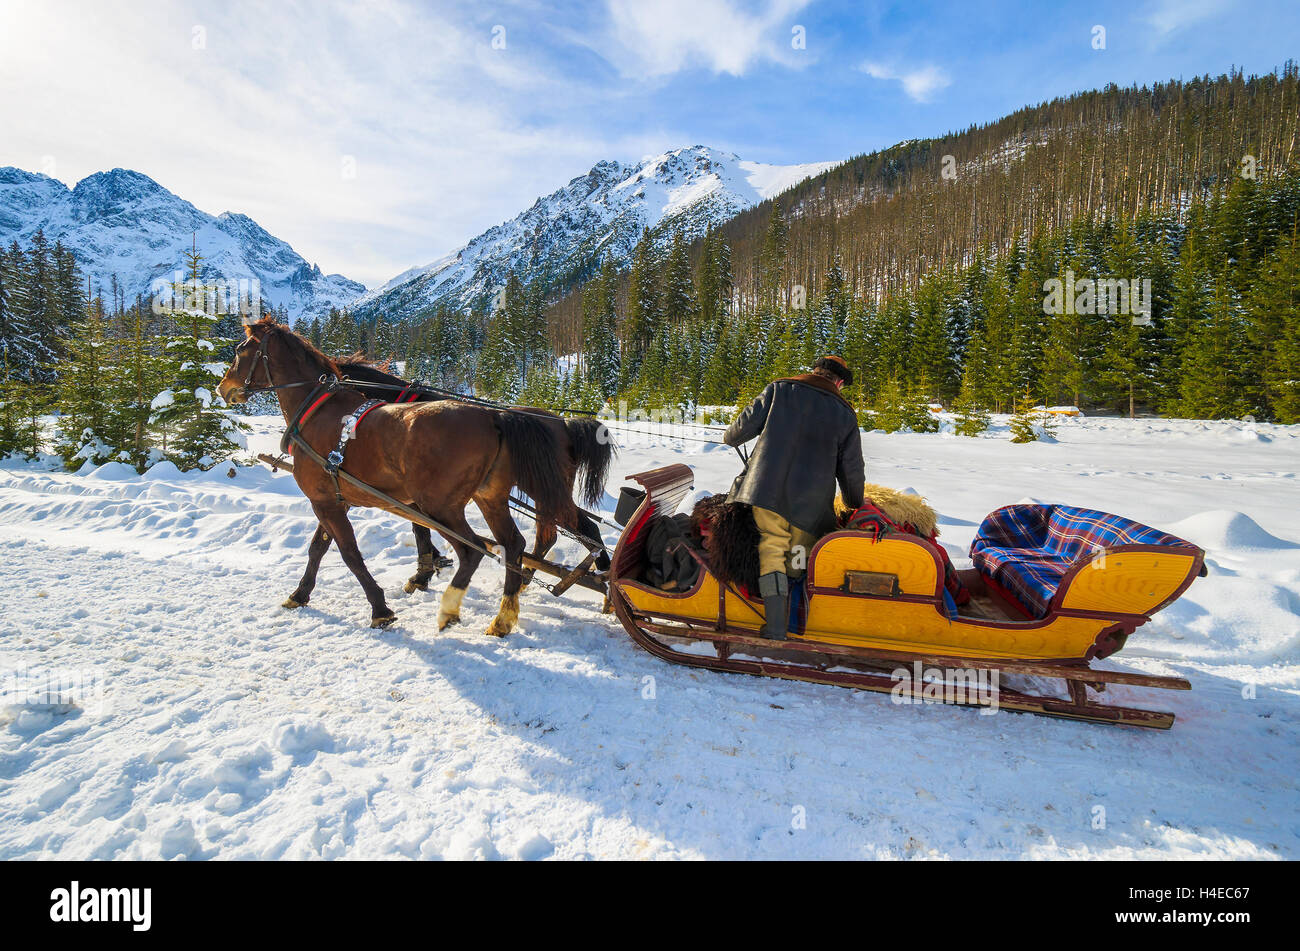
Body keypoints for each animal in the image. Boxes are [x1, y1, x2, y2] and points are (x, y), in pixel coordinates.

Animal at [219, 315, 585, 634]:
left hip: (444, 505)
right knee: (514, 544)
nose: (224, 388)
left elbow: (350, 554)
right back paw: (503, 617)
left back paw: (450, 609)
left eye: (240, 349)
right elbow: (318, 549)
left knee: (475, 549)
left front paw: (381, 608)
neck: (317, 412)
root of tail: (494, 418)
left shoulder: (325, 501)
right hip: (490, 497)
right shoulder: (335, 499)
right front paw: (300, 594)